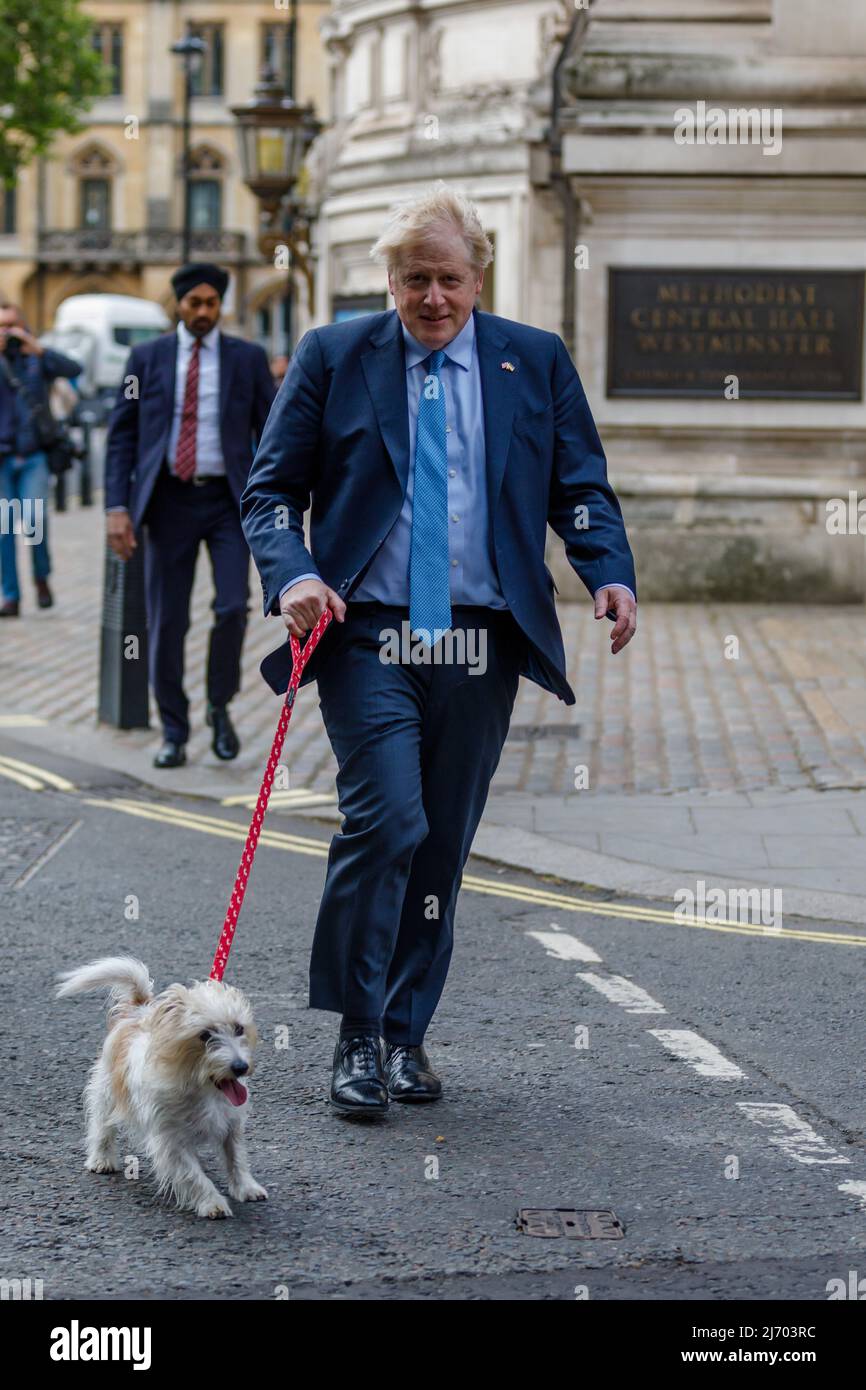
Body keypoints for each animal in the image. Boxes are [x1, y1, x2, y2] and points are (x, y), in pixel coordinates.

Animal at [57, 956, 268, 1217]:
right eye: (205, 1035)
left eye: (239, 1028)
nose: (240, 1067)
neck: (200, 1088)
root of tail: (138, 1008)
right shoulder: (170, 1140)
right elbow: (192, 1175)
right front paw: (212, 1202)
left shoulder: (231, 1124)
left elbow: (236, 1158)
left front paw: (246, 1188)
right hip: (106, 1091)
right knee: (101, 1126)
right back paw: (101, 1159)